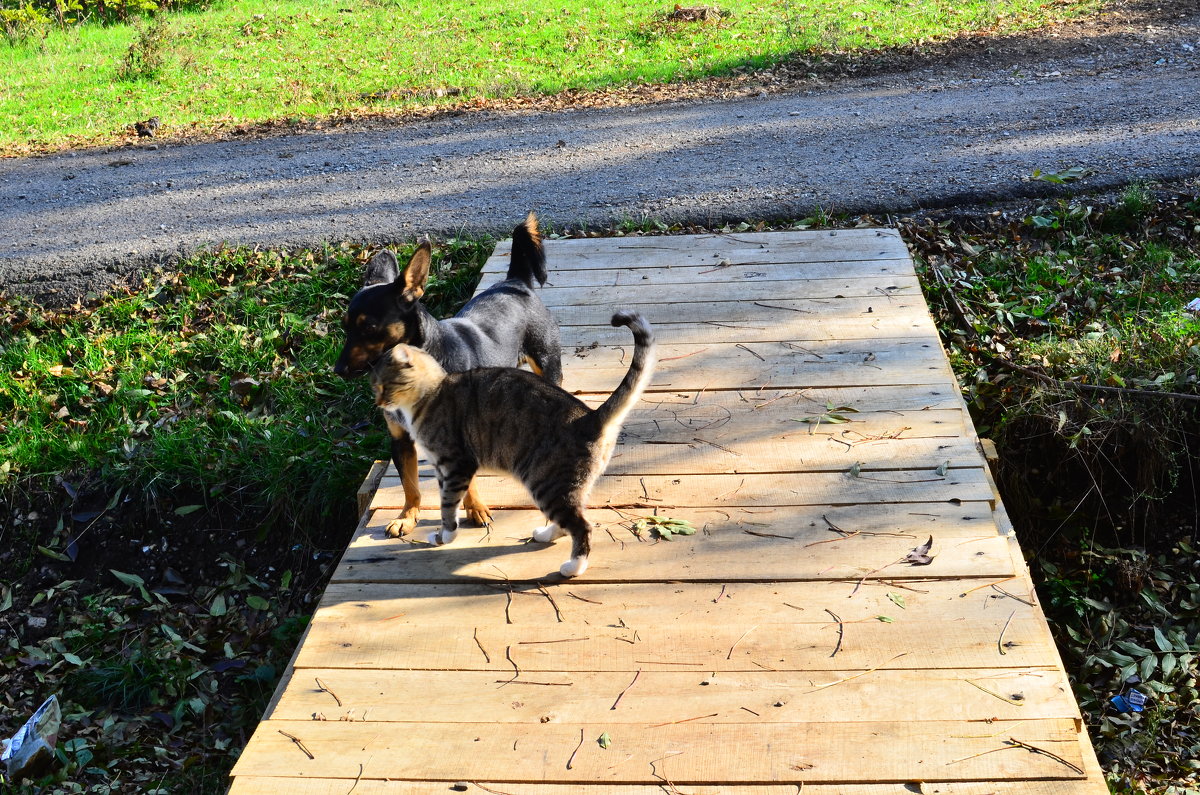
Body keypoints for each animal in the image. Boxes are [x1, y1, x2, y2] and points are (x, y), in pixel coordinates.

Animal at [336, 216, 564, 542]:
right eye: (344, 327)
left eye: (369, 328)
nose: (338, 369)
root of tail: (513, 282)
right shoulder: (400, 440)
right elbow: (410, 485)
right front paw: (407, 517)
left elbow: (467, 481)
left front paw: (475, 508)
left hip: (547, 363)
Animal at [372, 312, 657, 578]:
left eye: (383, 385)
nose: (377, 403)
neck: (432, 389)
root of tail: (590, 417)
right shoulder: (443, 470)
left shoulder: (456, 466)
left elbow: (448, 508)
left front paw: (445, 537)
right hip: (569, 486)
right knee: (570, 519)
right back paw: (546, 534)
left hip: (546, 483)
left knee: (582, 526)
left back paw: (572, 568)